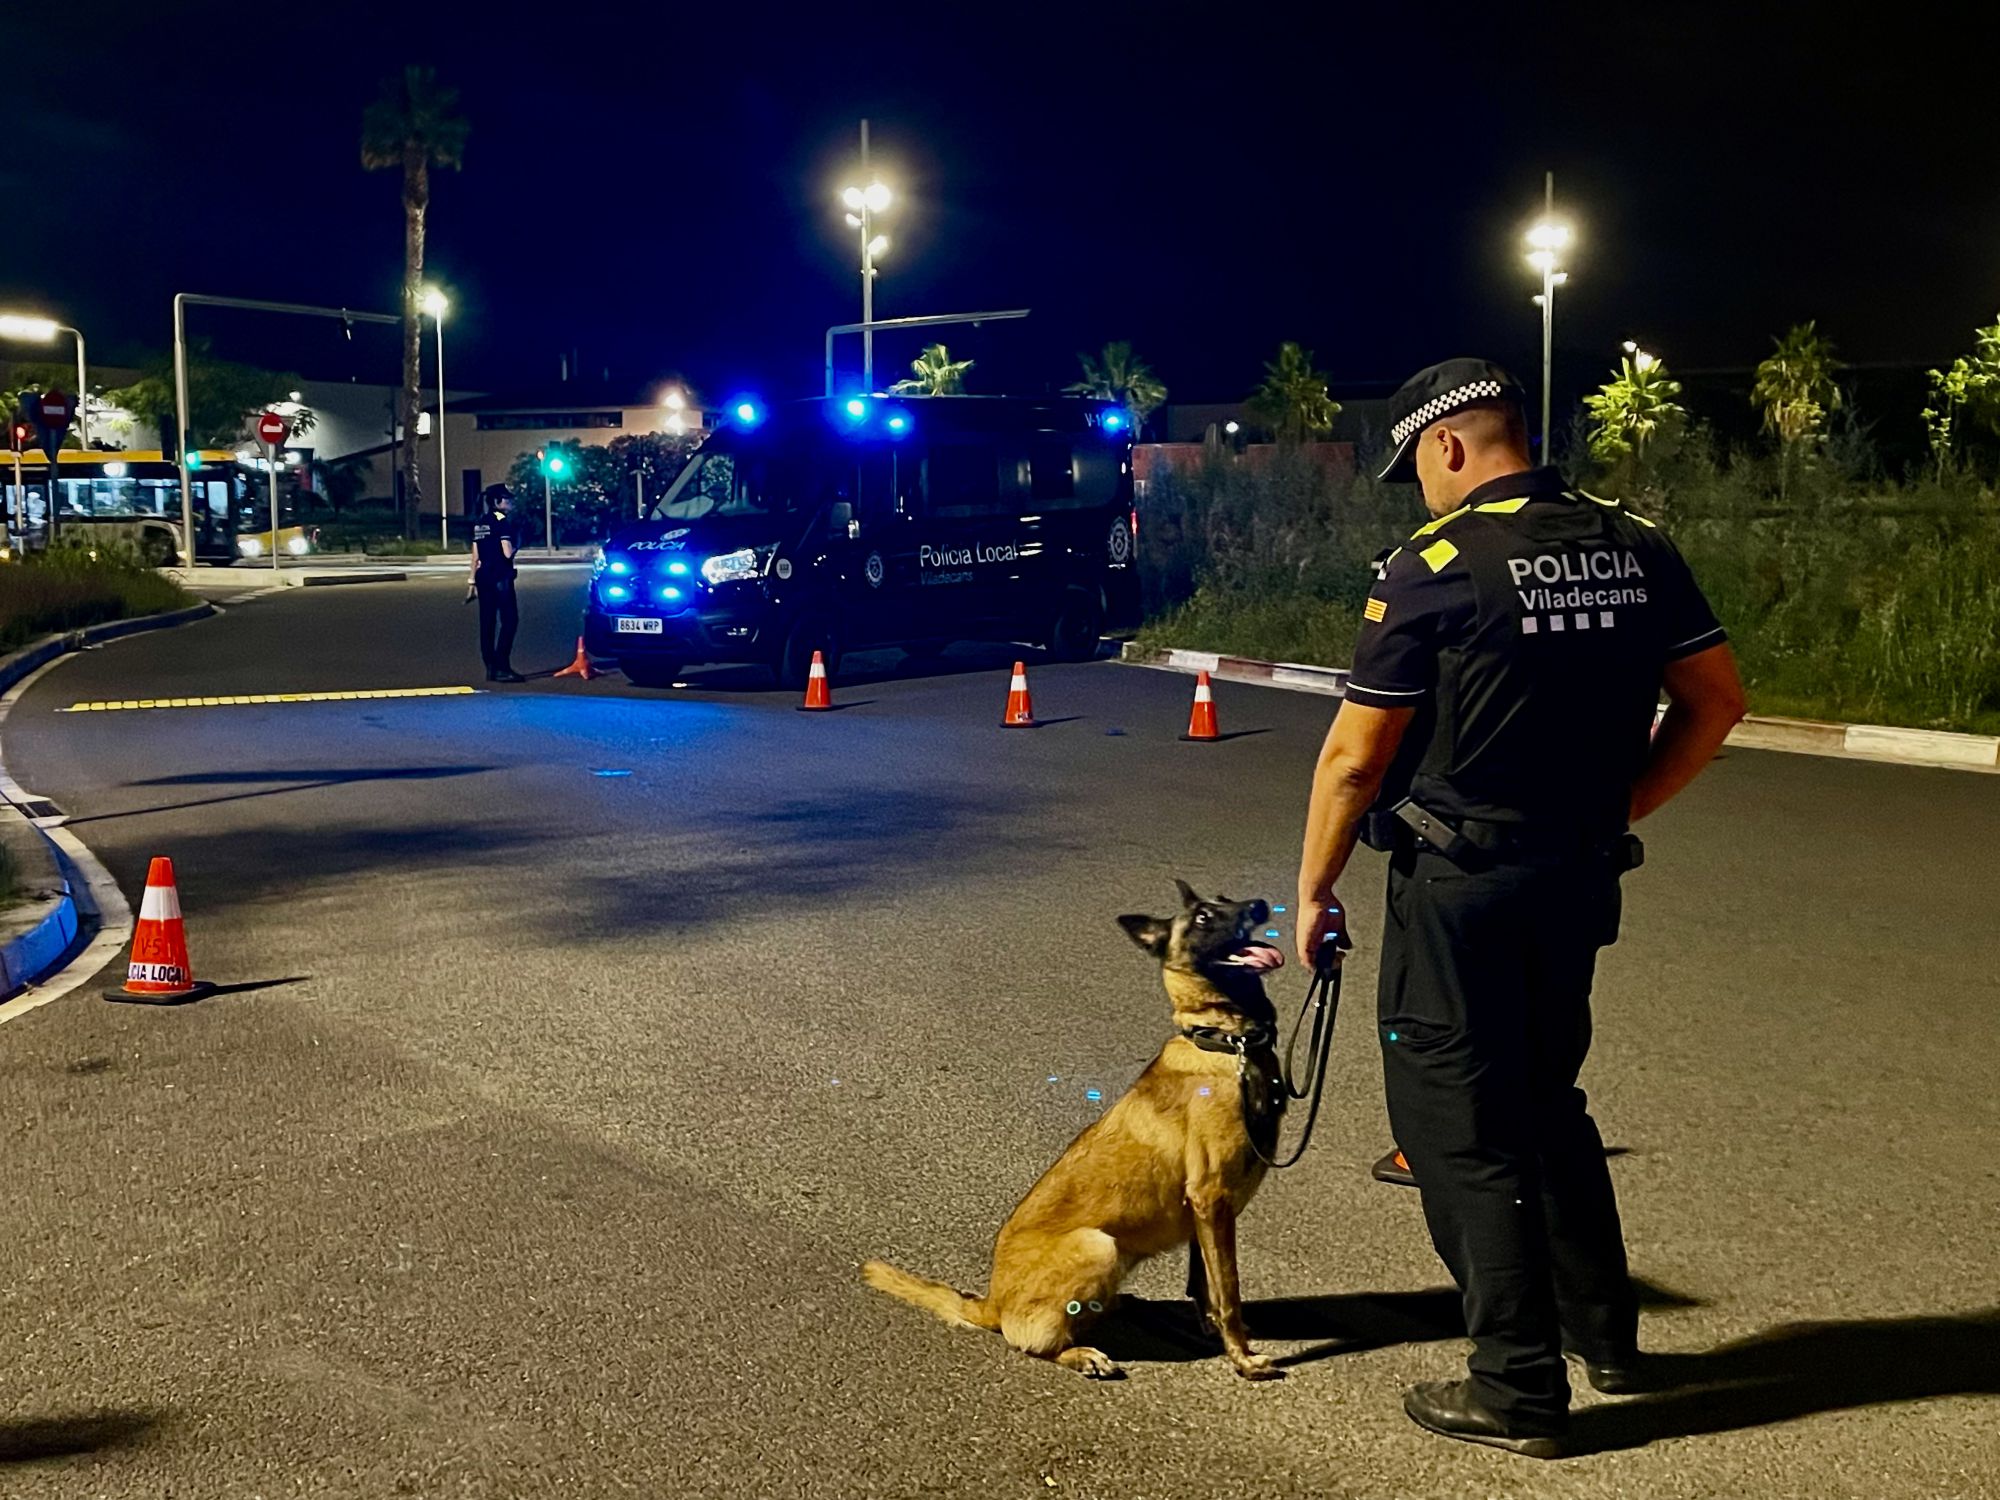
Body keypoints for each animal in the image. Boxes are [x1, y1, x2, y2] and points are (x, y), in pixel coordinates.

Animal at [868, 880, 1288, 1384]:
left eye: (1227, 899)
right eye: (1205, 917)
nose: (1260, 905)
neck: (1226, 1041)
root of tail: (991, 1303)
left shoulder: (1205, 1215)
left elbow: (1206, 1286)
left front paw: (1211, 1331)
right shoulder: (1213, 1199)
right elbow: (1229, 1293)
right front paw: (1242, 1357)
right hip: (1099, 1245)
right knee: (1028, 1340)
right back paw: (1080, 1352)